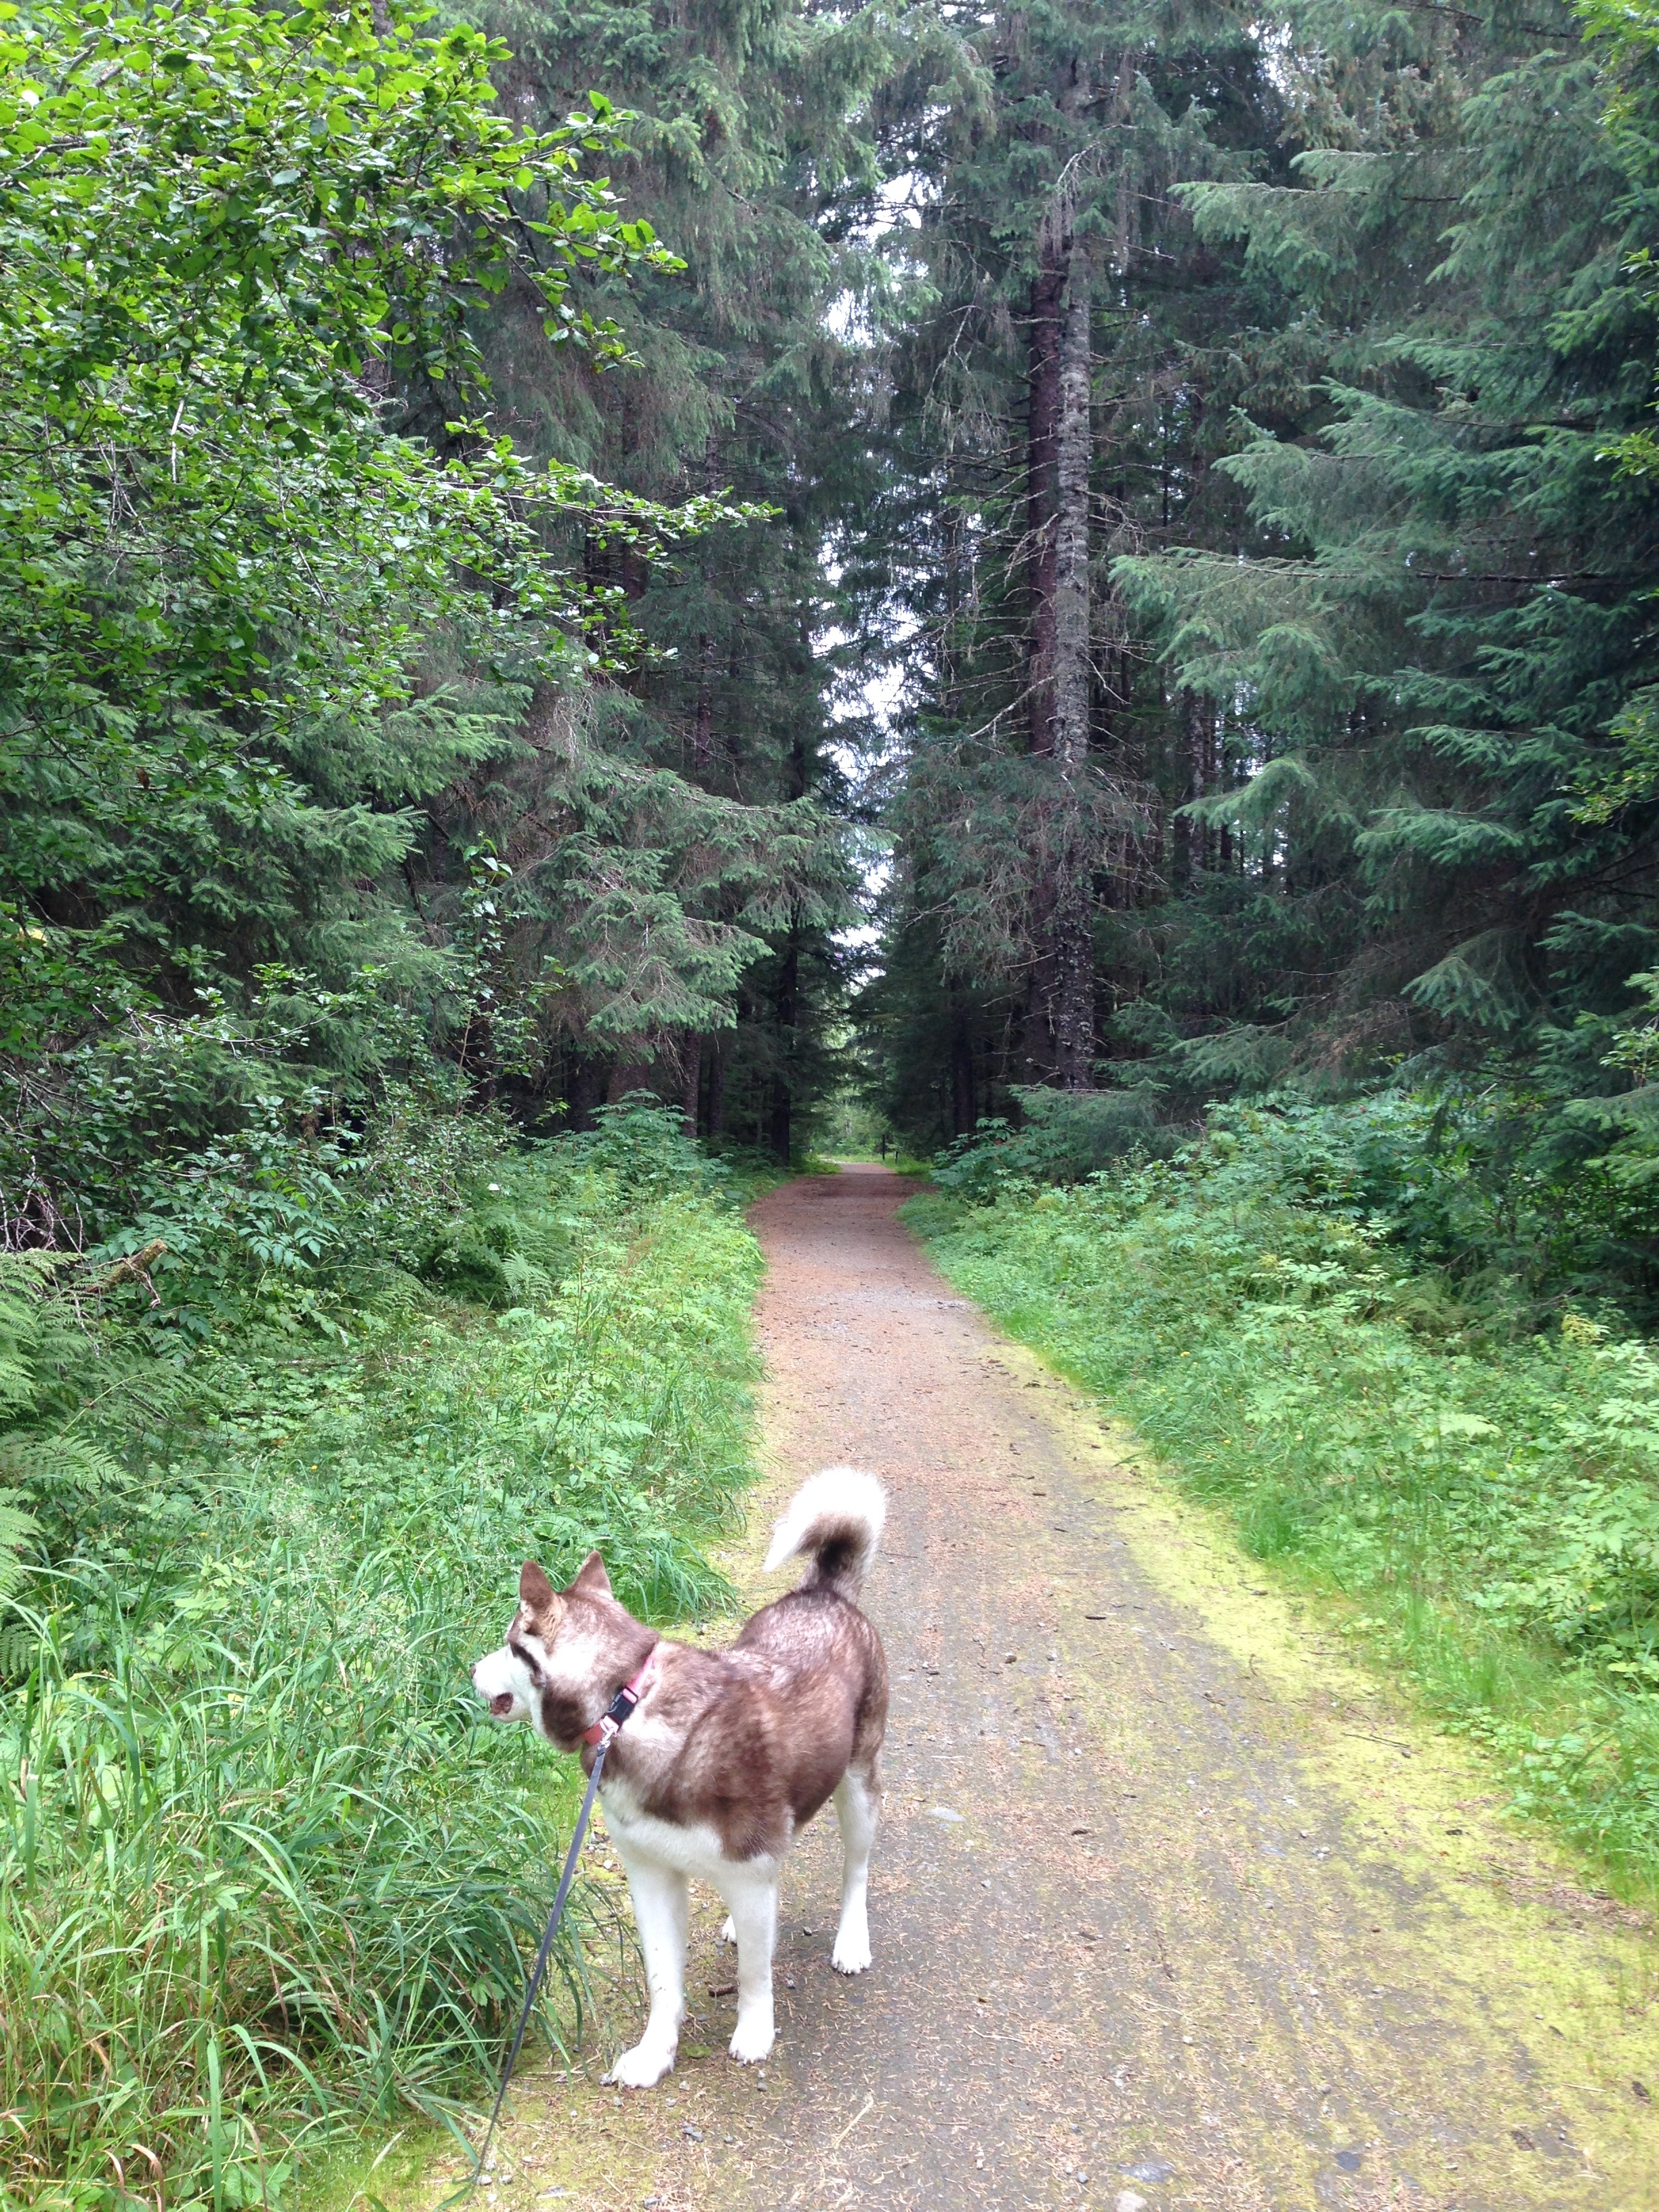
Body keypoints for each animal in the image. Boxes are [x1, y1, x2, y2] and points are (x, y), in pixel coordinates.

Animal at [473, 1469, 889, 2088]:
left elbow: (754, 1978)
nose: (470, 1668)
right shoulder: (650, 1875)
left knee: (855, 1869)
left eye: (507, 1643)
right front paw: (654, 2052)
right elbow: (663, 1982)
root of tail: (825, 1594)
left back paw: (851, 1940)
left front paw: (755, 2031)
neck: (624, 1705)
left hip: (858, 1788)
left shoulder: (749, 1865)